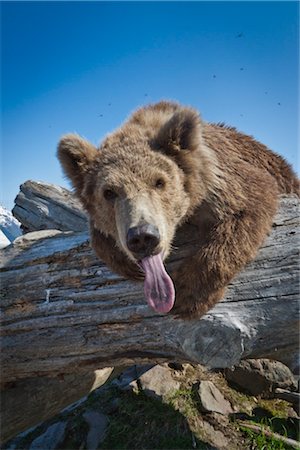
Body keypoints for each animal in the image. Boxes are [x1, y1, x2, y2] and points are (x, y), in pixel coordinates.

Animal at [57, 102, 298, 318]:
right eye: (109, 192)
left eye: (159, 182)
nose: (143, 237)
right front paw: (125, 263)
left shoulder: (222, 180)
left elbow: (246, 207)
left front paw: (188, 295)